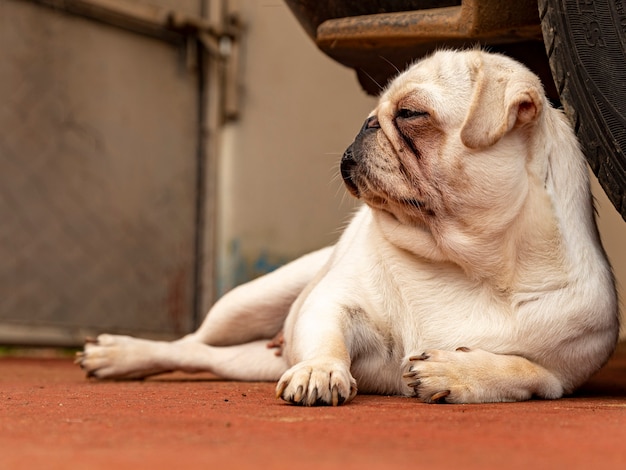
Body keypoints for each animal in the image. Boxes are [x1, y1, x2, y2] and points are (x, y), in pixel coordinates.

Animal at [77, 49, 616, 406]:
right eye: (376, 112)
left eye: (410, 114)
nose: (367, 123)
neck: (468, 262)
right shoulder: (335, 303)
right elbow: (327, 333)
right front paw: (319, 370)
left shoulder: (559, 376)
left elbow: (519, 368)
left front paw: (456, 370)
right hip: (244, 304)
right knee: (190, 344)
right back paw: (119, 354)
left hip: (249, 359)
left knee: (205, 359)